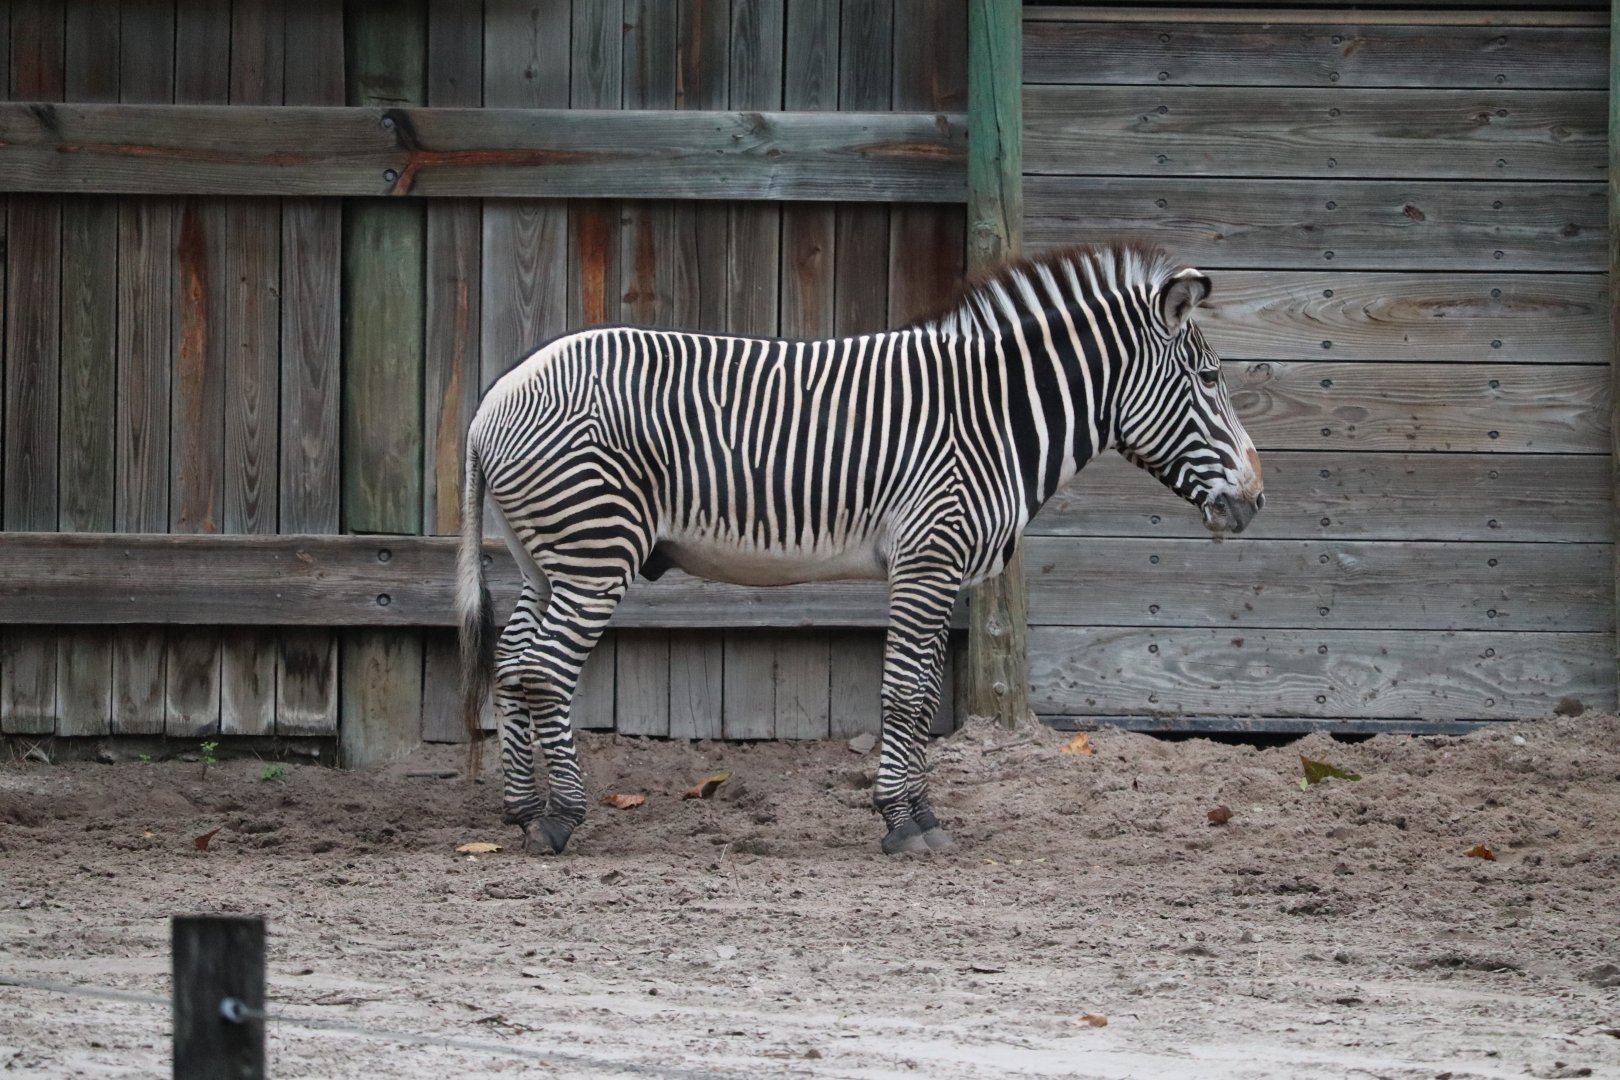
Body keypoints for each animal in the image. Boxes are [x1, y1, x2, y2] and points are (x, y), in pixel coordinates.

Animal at [457, 241, 1263, 856]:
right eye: (1209, 378)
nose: (1256, 499)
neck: (996, 418)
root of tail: (494, 397)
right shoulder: (929, 557)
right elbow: (904, 695)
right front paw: (902, 825)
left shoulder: (940, 571)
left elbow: (924, 696)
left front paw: (923, 813)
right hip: (596, 553)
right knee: (544, 672)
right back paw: (561, 820)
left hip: (546, 560)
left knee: (513, 664)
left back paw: (522, 813)